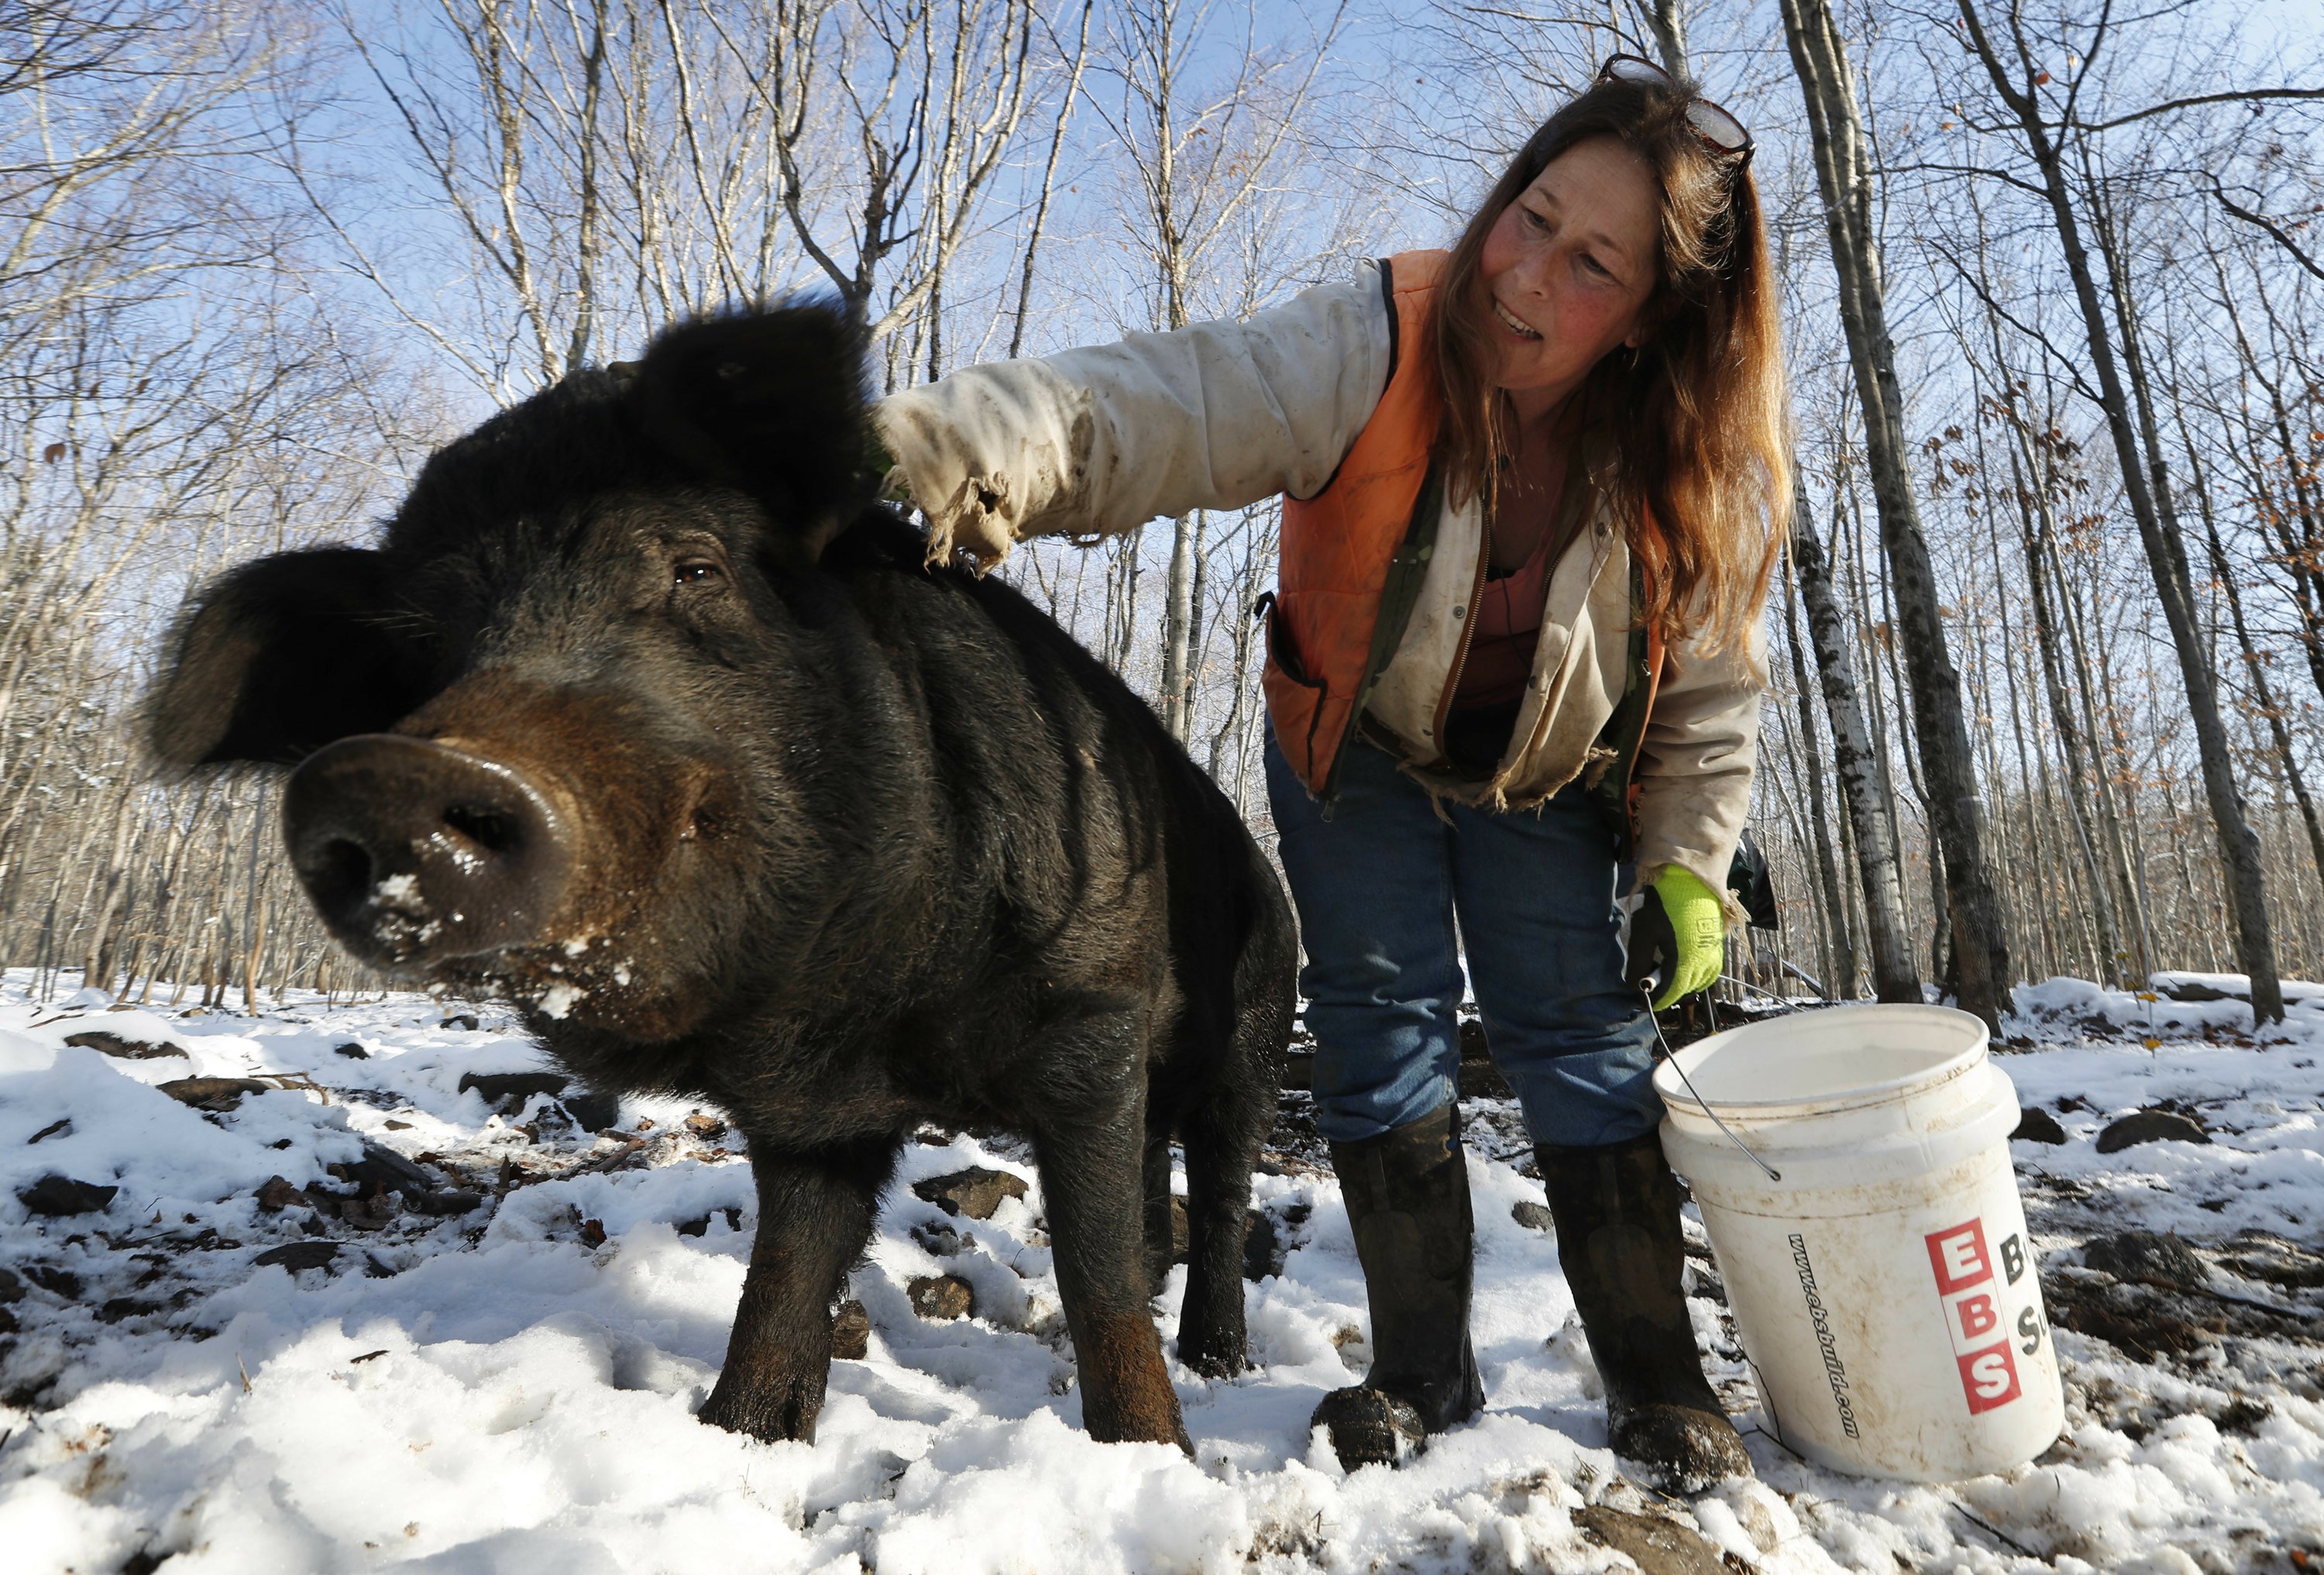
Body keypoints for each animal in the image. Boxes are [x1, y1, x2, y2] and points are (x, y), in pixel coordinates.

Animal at [150, 304, 1292, 1459]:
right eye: (418, 655)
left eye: (696, 569)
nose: (390, 772)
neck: (863, 1011)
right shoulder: (815, 1116)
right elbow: (783, 1273)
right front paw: (743, 1435)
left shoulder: (1092, 1008)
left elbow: (1095, 1269)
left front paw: (1149, 1452)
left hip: (1255, 1025)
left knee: (1222, 1188)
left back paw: (1217, 1358)